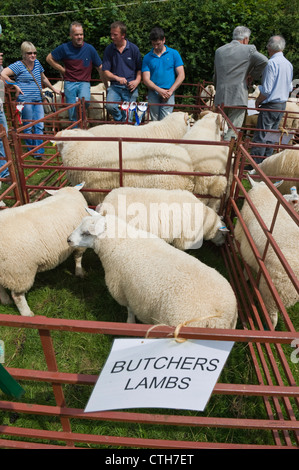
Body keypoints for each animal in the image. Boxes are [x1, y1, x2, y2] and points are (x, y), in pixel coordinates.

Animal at [0, 184, 88, 316]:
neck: (68, 194)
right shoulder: (79, 243)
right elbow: (78, 258)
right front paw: (79, 272)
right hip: (19, 270)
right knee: (17, 296)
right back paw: (27, 314)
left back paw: (5, 301)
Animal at [68, 211, 239, 328]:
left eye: (86, 233)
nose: (68, 240)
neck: (122, 241)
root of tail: (220, 315)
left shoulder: (125, 290)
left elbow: (130, 310)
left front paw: (130, 323)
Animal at [236, 176, 298, 326]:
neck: (263, 193)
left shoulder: (242, 236)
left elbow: (246, 263)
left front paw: (245, 277)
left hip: (271, 292)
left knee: (272, 318)